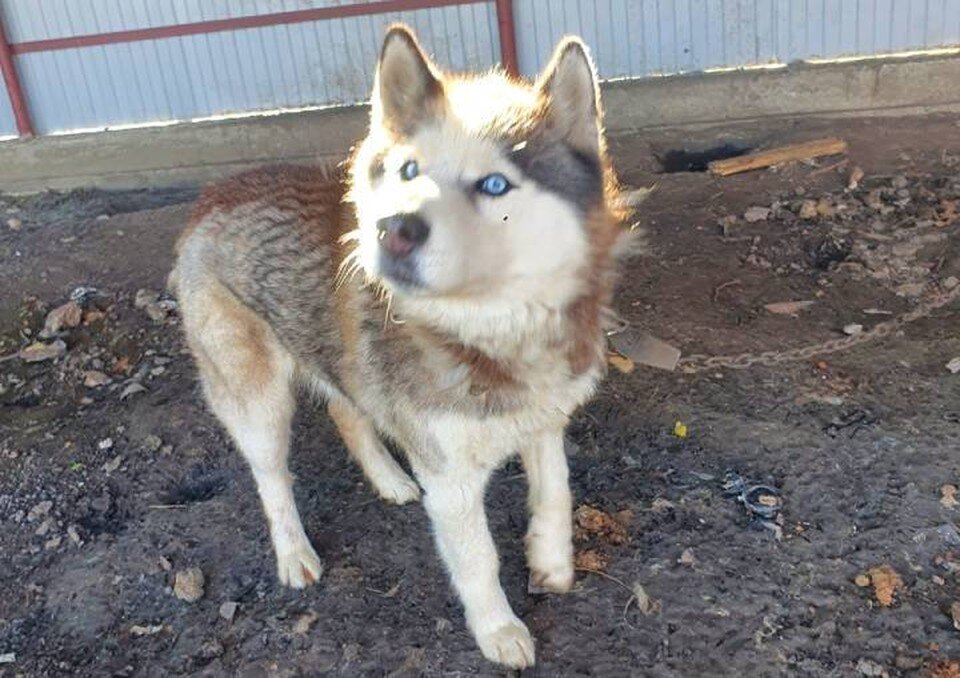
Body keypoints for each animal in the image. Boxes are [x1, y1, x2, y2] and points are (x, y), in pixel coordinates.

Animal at [172, 25, 632, 668]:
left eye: (494, 184)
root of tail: (214, 192)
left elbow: (556, 492)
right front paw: (498, 629)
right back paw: (293, 553)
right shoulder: (452, 481)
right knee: (272, 476)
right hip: (255, 399)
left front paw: (552, 561)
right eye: (409, 171)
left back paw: (389, 479)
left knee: (346, 408)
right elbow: (479, 558)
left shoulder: (546, 420)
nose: (392, 230)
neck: (493, 336)